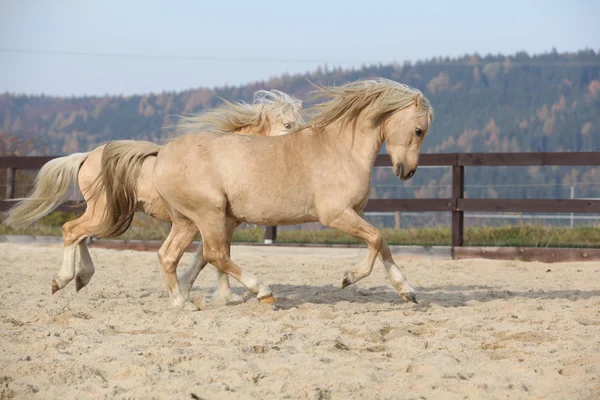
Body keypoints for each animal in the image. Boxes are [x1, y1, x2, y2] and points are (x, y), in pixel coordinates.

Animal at [3, 88, 304, 300]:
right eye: (288, 125)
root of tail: (87, 155)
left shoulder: (220, 223)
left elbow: (208, 256)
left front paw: (209, 294)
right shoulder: (216, 222)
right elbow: (213, 256)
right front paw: (225, 294)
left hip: (105, 214)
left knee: (80, 235)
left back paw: (82, 277)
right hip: (103, 213)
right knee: (71, 230)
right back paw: (64, 278)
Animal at [101, 77, 434, 310]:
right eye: (419, 130)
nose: (406, 171)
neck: (342, 149)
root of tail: (162, 152)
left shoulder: (358, 212)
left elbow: (383, 244)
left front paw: (407, 291)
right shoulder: (336, 215)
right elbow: (376, 240)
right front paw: (348, 277)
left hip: (187, 220)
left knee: (170, 255)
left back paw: (183, 302)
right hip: (208, 214)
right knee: (215, 254)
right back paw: (262, 292)